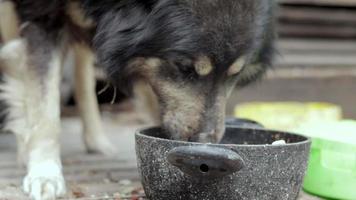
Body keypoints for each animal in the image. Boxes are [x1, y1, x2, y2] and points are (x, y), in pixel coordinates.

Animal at [0, 0, 276, 199]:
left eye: (234, 74)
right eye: (184, 67)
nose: (204, 141)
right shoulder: (43, 18)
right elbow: (45, 108)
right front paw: (45, 172)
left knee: (82, 68)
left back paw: (96, 140)